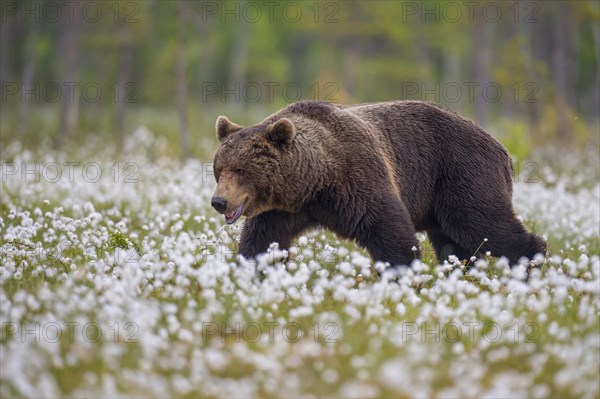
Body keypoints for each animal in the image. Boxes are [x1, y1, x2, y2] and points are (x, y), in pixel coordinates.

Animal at [209, 101, 548, 268]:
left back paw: (532, 261)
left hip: (462, 173)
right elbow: (262, 241)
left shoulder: (356, 178)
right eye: (219, 169)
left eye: (240, 170)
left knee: (483, 224)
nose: (219, 202)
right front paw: (254, 269)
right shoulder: (280, 210)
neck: (313, 184)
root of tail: (502, 148)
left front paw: (402, 270)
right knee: (456, 243)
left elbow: (387, 228)